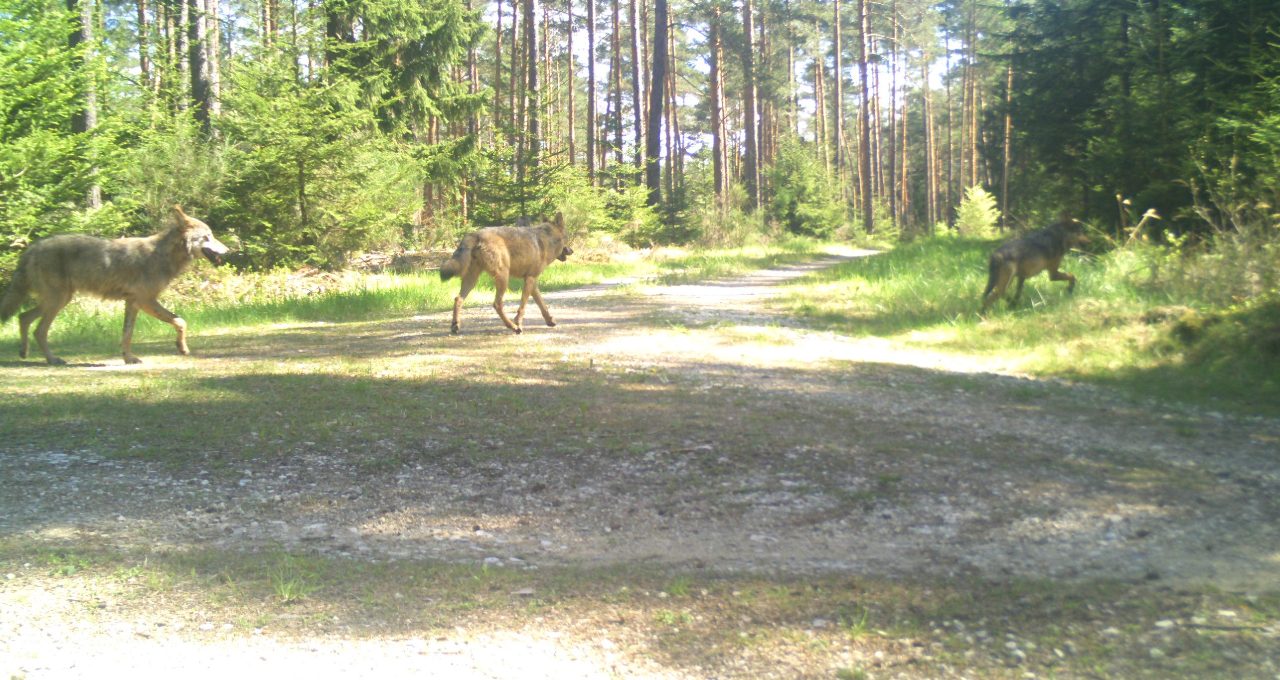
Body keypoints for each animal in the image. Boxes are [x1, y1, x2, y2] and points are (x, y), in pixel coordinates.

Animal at [0, 205, 230, 365]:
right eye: (208, 236)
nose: (228, 251)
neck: (162, 255)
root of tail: (32, 248)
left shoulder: (133, 303)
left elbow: (127, 335)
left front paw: (129, 358)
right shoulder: (146, 300)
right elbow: (181, 321)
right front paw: (182, 349)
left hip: (58, 300)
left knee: (23, 317)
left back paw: (24, 352)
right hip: (57, 302)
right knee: (39, 330)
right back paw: (52, 359)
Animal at [440, 213, 573, 334]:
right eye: (567, 238)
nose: (572, 250)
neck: (546, 239)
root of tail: (476, 234)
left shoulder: (532, 280)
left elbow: (542, 304)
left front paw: (550, 321)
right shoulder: (530, 279)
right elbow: (522, 306)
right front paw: (518, 322)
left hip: (472, 280)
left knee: (458, 299)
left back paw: (455, 326)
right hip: (503, 279)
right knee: (497, 304)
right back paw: (513, 327)